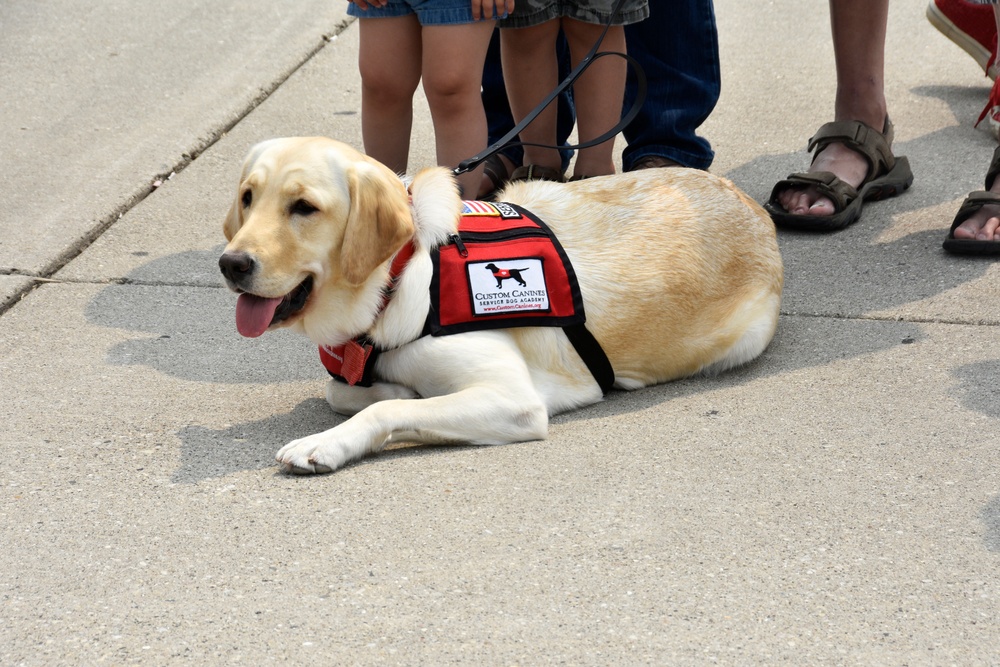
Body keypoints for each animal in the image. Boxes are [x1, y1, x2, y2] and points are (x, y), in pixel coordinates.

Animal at [217, 137, 780, 474]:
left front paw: (325, 442)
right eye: (247, 197)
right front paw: (395, 387)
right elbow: (348, 392)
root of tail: (751, 204)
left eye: (304, 207)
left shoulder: (515, 400)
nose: (231, 264)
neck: (399, 274)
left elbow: (385, 408)